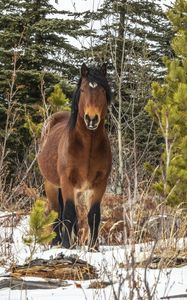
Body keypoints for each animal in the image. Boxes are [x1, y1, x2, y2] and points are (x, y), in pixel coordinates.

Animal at [37, 63, 112, 251]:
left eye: (102, 90)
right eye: (83, 90)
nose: (91, 118)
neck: (87, 147)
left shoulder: (100, 184)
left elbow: (93, 215)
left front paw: (93, 247)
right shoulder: (67, 181)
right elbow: (68, 214)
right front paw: (65, 245)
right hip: (51, 185)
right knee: (57, 212)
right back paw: (57, 242)